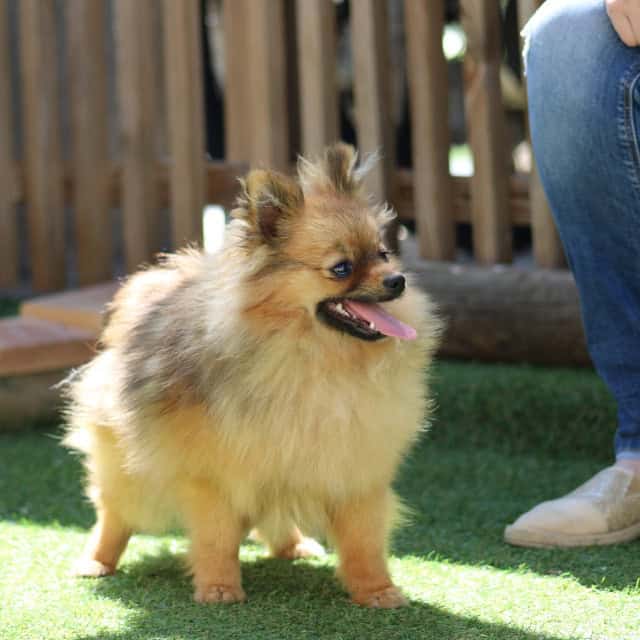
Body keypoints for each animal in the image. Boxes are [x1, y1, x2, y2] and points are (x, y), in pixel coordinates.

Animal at [65, 142, 440, 608]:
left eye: (383, 254)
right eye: (341, 268)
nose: (397, 280)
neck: (315, 359)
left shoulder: (355, 471)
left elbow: (364, 541)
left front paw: (377, 590)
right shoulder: (213, 478)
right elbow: (216, 538)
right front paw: (219, 588)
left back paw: (293, 546)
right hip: (125, 470)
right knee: (114, 516)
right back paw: (96, 562)